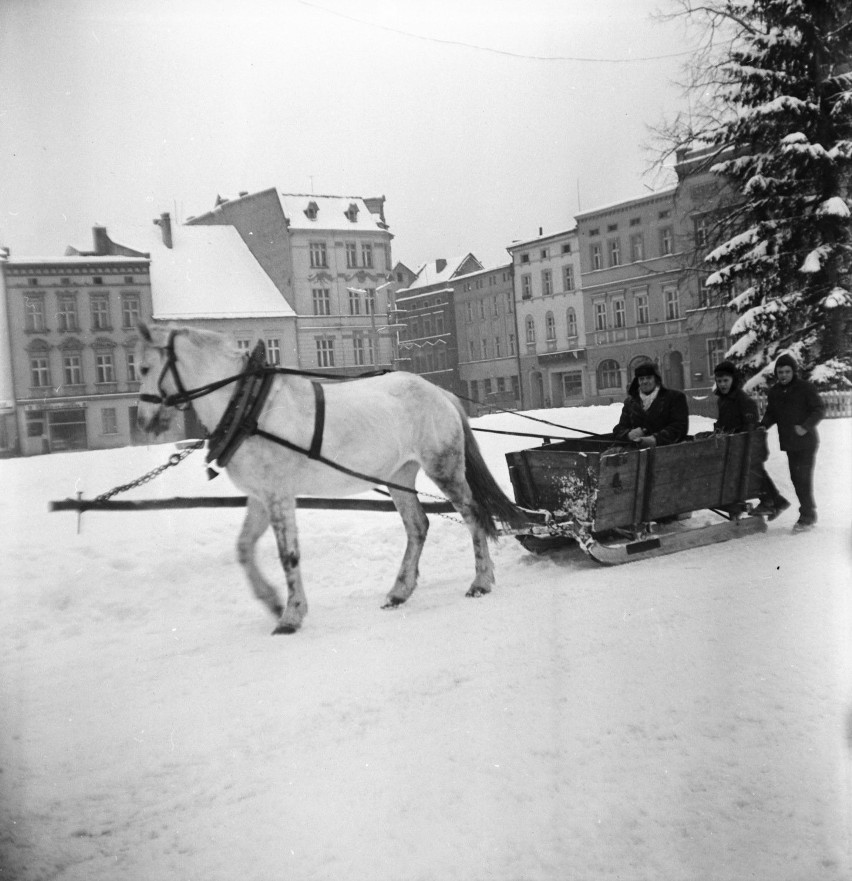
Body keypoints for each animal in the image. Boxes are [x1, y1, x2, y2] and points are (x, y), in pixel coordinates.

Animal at [136, 324, 528, 632]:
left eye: (142, 367)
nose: (142, 419)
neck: (248, 407)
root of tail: (441, 393)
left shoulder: (279, 495)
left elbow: (288, 555)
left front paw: (291, 615)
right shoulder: (261, 496)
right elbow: (244, 548)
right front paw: (272, 600)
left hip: (443, 467)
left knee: (473, 514)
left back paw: (481, 581)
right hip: (398, 474)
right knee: (418, 526)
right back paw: (399, 591)